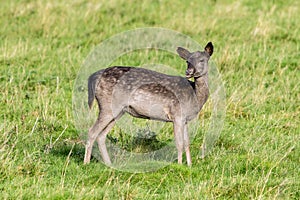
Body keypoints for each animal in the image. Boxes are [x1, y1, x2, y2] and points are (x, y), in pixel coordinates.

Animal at [84, 41, 213, 166]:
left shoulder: (185, 119)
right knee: (92, 132)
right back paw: (86, 163)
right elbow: (179, 143)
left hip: (119, 111)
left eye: (202, 60)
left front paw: (190, 165)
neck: (194, 96)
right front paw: (180, 165)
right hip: (107, 106)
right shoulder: (177, 115)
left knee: (101, 135)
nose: (189, 71)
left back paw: (109, 164)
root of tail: (94, 76)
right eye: (187, 61)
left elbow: (187, 143)